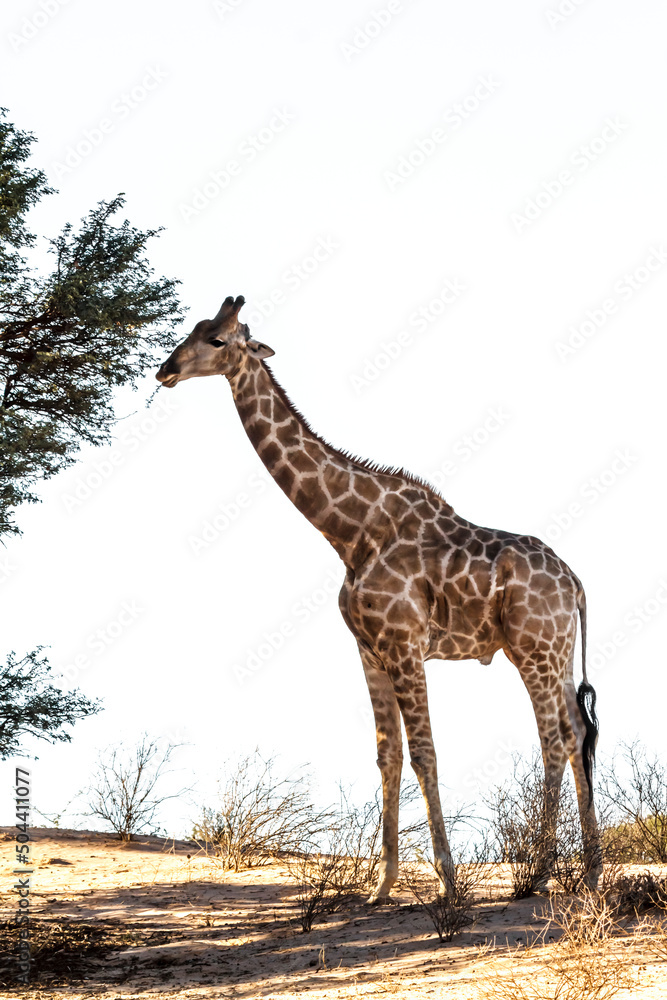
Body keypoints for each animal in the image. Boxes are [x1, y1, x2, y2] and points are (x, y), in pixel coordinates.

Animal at [156, 294, 601, 900]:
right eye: (194, 329)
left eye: (219, 340)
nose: (166, 370)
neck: (350, 532)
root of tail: (575, 581)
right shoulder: (368, 649)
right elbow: (386, 754)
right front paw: (382, 886)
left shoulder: (405, 644)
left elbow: (424, 754)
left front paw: (448, 883)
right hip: (554, 650)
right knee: (577, 732)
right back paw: (592, 871)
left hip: (532, 649)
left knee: (553, 738)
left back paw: (539, 874)